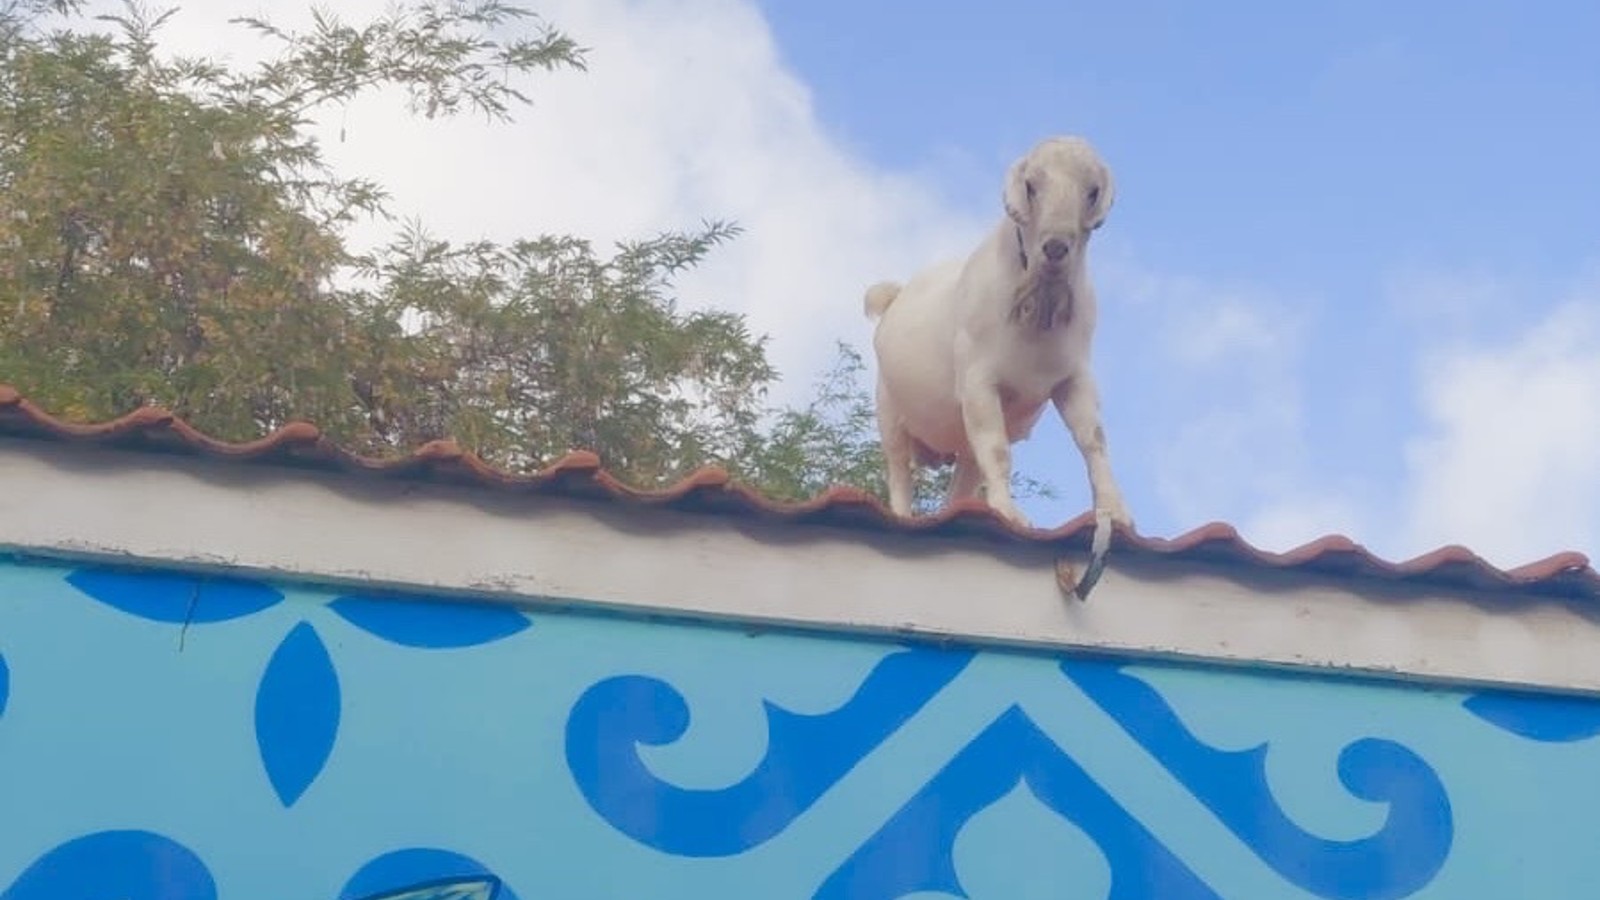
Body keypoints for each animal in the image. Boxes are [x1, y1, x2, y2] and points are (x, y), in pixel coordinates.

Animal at [864, 136, 1133, 599]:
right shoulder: (978, 381)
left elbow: (1093, 440)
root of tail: (894, 296)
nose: (1056, 248)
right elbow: (998, 450)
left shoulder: (1074, 378)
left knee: (961, 486)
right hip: (890, 411)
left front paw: (1117, 514)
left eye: (1092, 190)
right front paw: (1010, 512)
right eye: (1031, 185)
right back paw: (903, 514)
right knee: (899, 472)